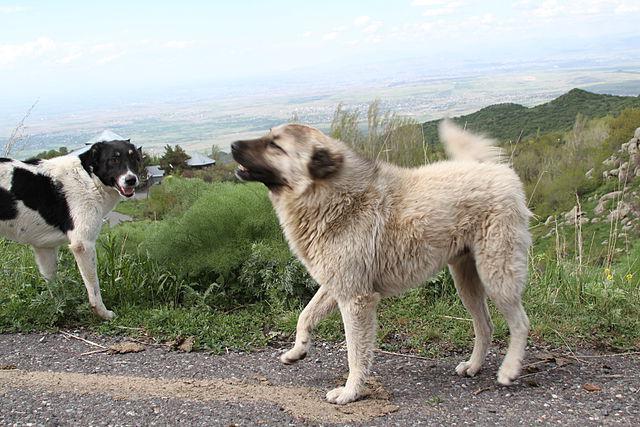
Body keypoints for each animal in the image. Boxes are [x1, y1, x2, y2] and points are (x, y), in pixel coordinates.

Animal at [0, 141, 142, 320]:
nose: (131, 180)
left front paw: (58, 308)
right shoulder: (83, 245)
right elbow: (94, 288)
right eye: (114, 159)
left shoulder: (44, 248)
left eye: (134, 158)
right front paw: (103, 313)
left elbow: (53, 286)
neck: (89, 179)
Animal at [230, 120, 528, 404]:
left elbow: (355, 354)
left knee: (520, 322)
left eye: (275, 145)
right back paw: (474, 366)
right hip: (467, 282)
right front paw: (297, 350)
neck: (332, 198)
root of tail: (495, 170)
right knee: (485, 326)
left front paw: (350, 392)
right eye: (269, 136)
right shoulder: (337, 285)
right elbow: (305, 316)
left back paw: (509, 369)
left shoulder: (356, 300)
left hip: (497, 276)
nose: (232, 145)